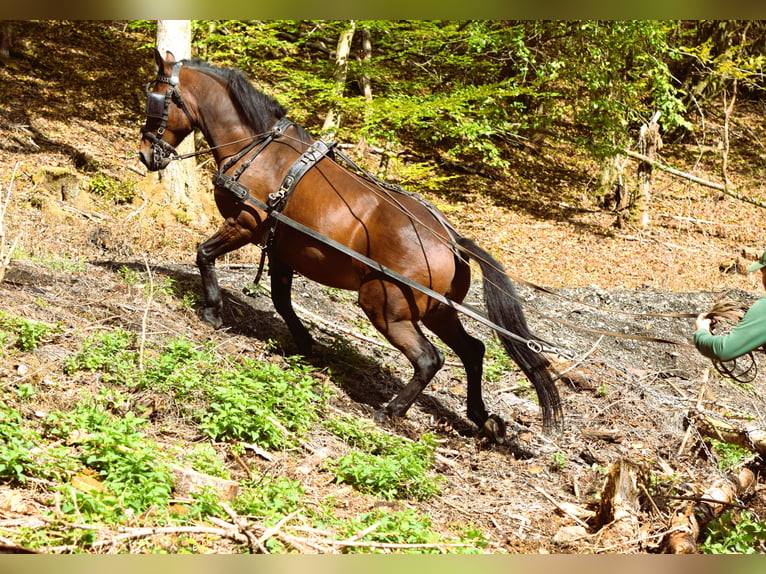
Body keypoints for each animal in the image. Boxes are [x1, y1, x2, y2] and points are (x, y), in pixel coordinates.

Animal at [139, 49, 563, 441]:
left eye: (155, 98)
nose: (145, 154)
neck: (259, 150)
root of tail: (450, 240)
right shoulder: (281, 248)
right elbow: (281, 300)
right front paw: (305, 343)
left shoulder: (245, 224)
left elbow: (204, 253)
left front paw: (212, 310)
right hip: (437, 311)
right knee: (473, 352)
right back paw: (481, 417)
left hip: (385, 306)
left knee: (429, 359)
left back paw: (391, 411)